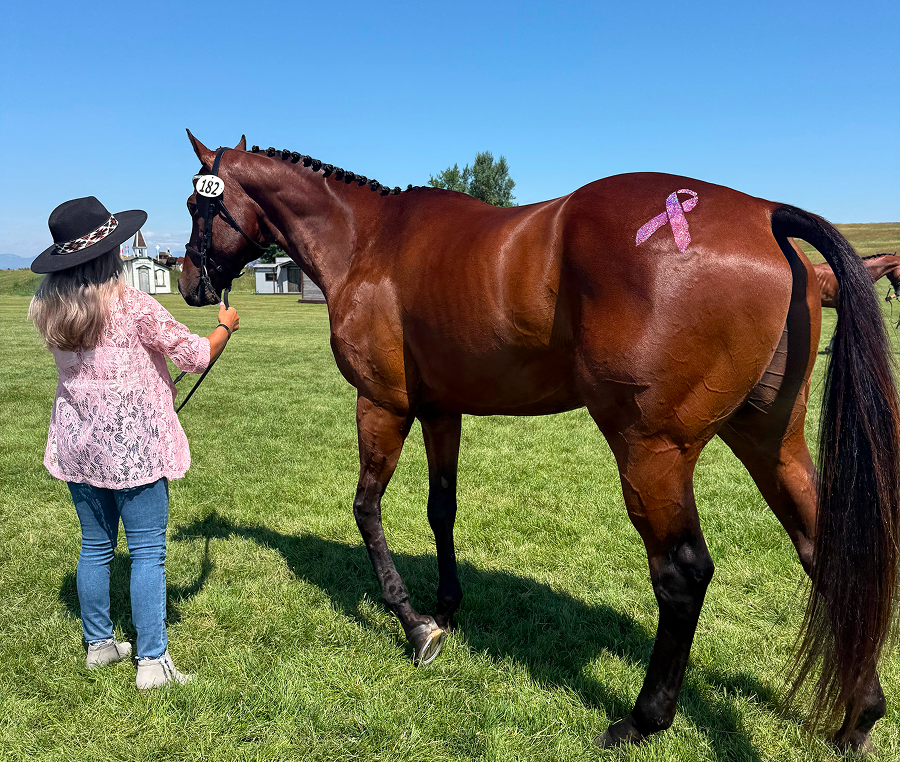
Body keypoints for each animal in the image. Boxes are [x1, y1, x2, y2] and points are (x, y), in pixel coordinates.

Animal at [178, 131, 900, 751]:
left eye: (194, 204)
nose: (188, 282)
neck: (369, 241)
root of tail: (763, 214)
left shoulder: (382, 405)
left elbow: (366, 510)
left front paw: (416, 626)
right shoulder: (442, 412)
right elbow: (442, 510)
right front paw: (448, 607)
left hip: (652, 452)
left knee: (682, 573)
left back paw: (643, 718)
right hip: (768, 440)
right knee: (820, 546)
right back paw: (859, 717)